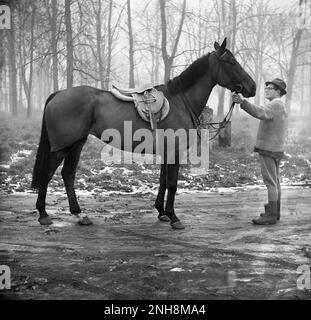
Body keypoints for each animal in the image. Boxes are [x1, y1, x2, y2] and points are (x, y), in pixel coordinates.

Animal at [31, 38, 256, 230]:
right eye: (231, 62)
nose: (252, 87)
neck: (180, 101)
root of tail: (59, 94)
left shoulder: (166, 152)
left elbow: (163, 181)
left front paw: (162, 212)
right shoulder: (174, 152)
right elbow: (172, 184)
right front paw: (174, 217)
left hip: (76, 144)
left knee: (67, 174)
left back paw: (79, 215)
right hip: (62, 146)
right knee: (48, 173)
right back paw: (43, 214)